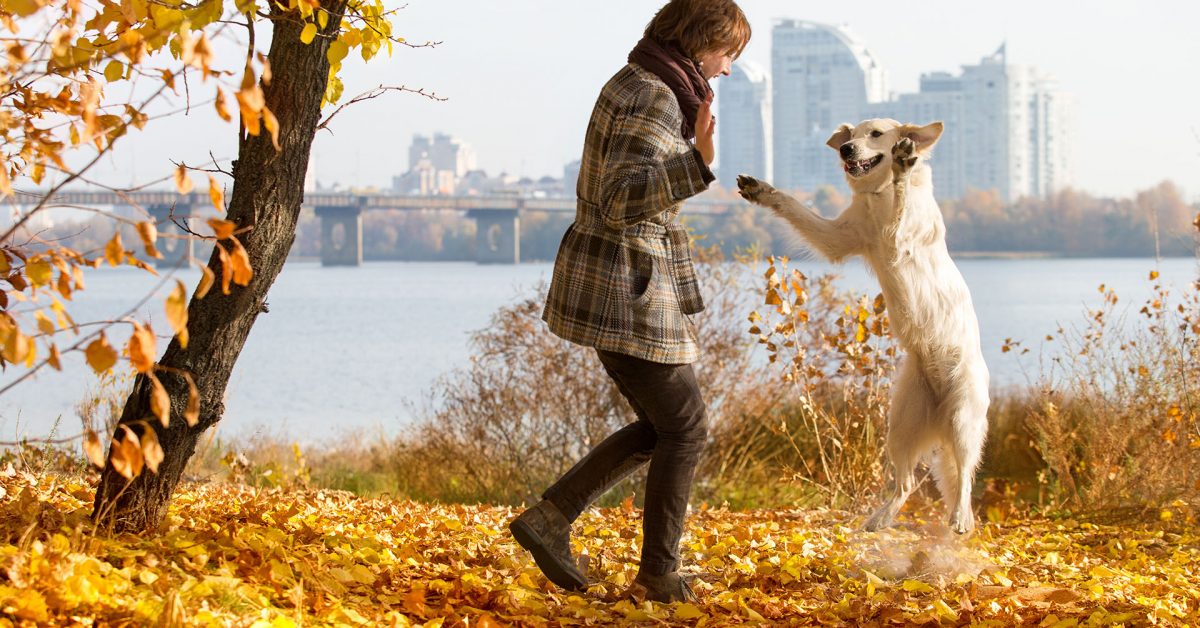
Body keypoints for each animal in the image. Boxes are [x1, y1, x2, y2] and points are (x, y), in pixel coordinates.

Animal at [734, 119, 988, 535]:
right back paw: (879, 519)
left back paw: (960, 519)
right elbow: (794, 206)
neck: (875, 198)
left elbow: (901, 203)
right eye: (852, 133)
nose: (846, 149)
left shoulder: (897, 239)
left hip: (963, 419)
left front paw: (904, 164)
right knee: (907, 483)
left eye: (876, 134)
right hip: (900, 428)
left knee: (965, 477)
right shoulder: (839, 237)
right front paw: (761, 190)